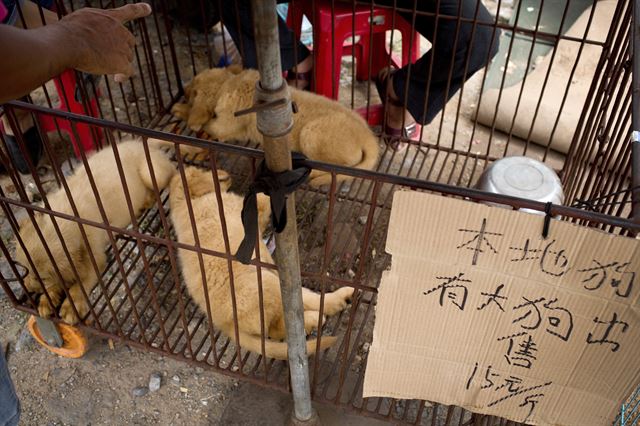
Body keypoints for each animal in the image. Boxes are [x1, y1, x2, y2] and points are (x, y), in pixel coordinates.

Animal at [15, 139, 175, 322]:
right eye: (24, 269)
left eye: (41, 277)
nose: (27, 288)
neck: (66, 215)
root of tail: (140, 144)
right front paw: (46, 301)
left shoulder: (95, 258)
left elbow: (81, 283)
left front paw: (70, 307)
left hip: (153, 173)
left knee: (169, 176)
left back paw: (147, 202)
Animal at [169, 166, 356, 360]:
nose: (226, 173)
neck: (187, 205)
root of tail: (227, 324)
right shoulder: (252, 209)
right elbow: (266, 195)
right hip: (270, 283)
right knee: (304, 303)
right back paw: (335, 302)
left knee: (275, 329)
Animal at [171, 66, 380, 186]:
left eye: (192, 88)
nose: (183, 90)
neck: (228, 84)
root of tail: (368, 137)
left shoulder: (224, 126)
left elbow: (205, 122)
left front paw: (181, 110)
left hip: (310, 135)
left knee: (335, 168)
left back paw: (315, 176)